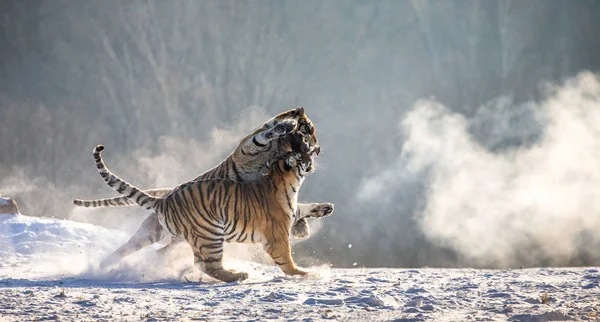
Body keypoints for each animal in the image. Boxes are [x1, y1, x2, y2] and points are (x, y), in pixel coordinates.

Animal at [74, 107, 332, 266]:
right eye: (310, 130)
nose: (318, 148)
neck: (281, 148)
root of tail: (167, 194)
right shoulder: (250, 147)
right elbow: (266, 135)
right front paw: (285, 125)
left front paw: (306, 222)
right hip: (150, 233)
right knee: (125, 248)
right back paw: (101, 266)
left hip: (178, 239)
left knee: (161, 252)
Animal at [91, 143, 332, 282]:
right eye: (301, 155)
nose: (313, 156)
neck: (283, 180)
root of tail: (165, 200)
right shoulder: (276, 235)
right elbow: (286, 259)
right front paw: (305, 274)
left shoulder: (292, 210)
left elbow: (303, 207)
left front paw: (326, 207)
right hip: (211, 234)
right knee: (209, 265)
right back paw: (237, 276)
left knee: (165, 254)